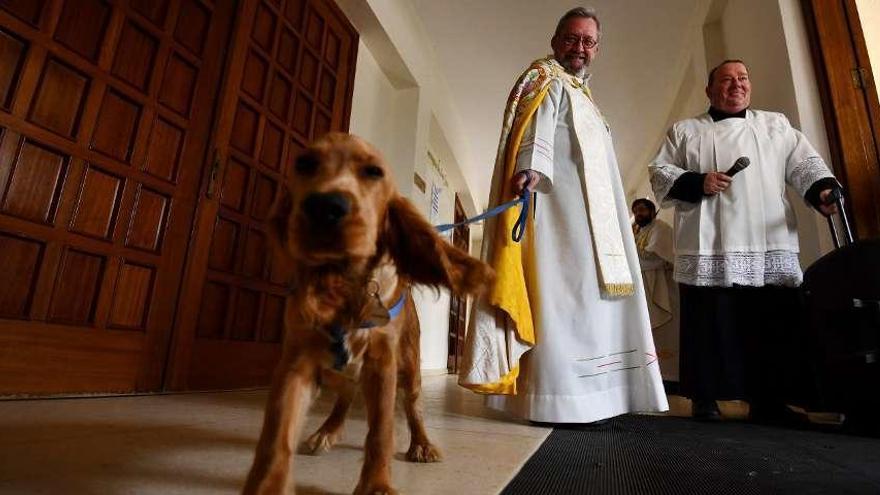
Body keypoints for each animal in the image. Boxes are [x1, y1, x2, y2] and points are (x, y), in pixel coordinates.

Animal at [242, 133, 488, 495]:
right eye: (304, 164)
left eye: (374, 171)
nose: (324, 207)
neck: (345, 284)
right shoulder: (296, 362)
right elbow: (276, 434)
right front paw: (268, 486)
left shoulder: (382, 363)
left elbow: (381, 430)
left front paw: (376, 484)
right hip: (336, 371)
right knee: (345, 394)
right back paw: (326, 431)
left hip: (409, 368)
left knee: (413, 407)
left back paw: (421, 445)